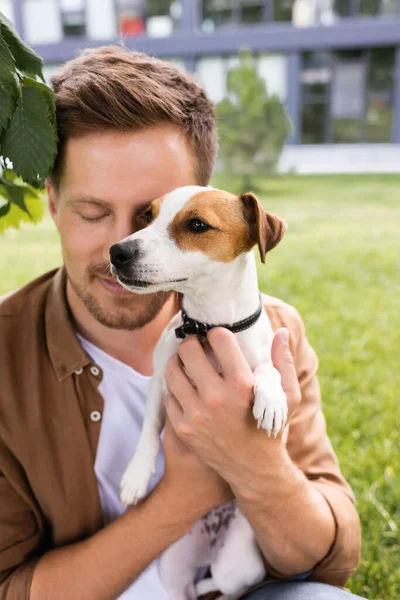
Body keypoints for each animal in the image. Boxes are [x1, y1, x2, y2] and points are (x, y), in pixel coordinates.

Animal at [108, 185, 288, 596]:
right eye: (148, 216)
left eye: (197, 225)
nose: (117, 251)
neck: (209, 326)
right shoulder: (161, 380)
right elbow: (148, 432)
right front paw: (136, 476)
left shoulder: (263, 352)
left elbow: (268, 368)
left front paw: (271, 400)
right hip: (174, 568)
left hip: (240, 566)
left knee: (226, 586)